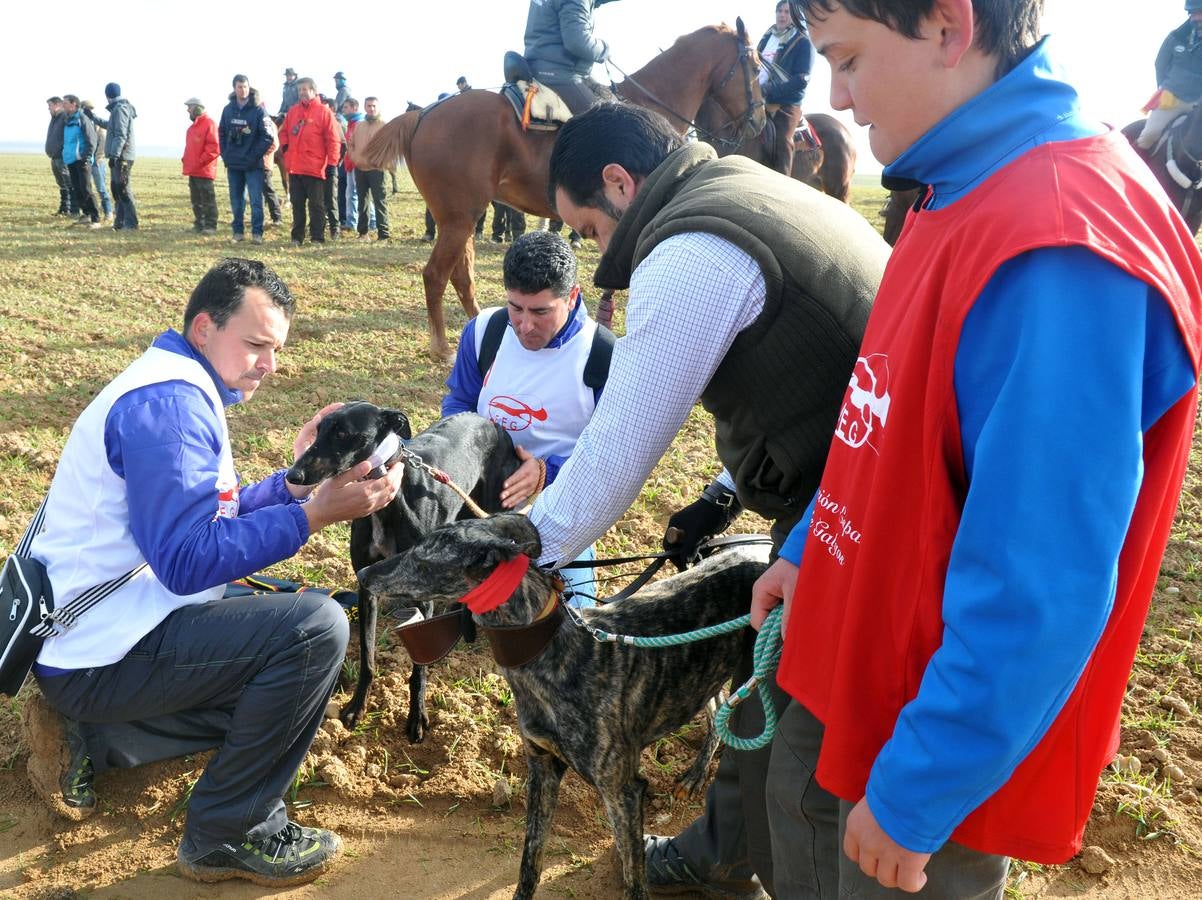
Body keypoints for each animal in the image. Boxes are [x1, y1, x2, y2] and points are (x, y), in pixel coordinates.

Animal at [360, 21, 764, 358]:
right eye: (758, 67)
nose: (759, 120)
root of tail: (423, 114)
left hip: (462, 218)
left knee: (462, 276)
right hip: (460, 218)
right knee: (436, 275)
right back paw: (442, 347)